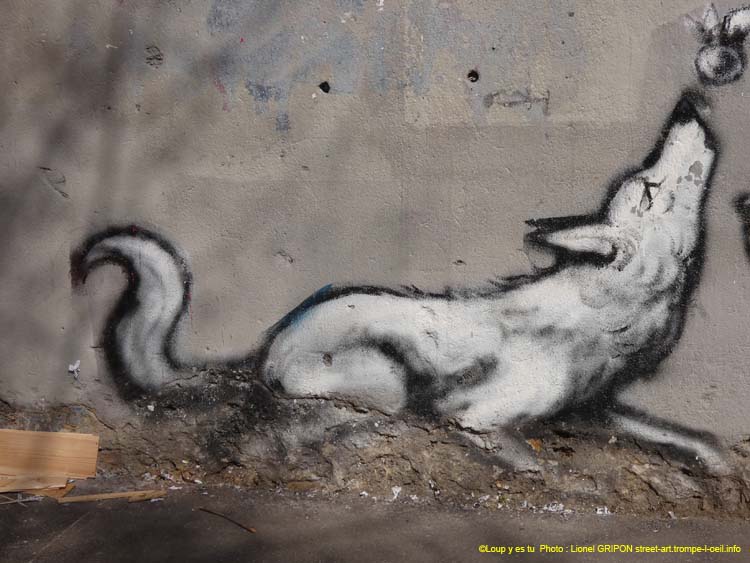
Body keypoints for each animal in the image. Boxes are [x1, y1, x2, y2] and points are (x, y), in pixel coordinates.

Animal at [72, 92, 726, 473]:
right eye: (647, 187)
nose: (689, 105)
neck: (604, 315)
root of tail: (262, 353)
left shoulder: (597, 408)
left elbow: (675, 436)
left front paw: (712, 459)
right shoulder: (479, 415)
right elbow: (525, 455)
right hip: (385, 380)